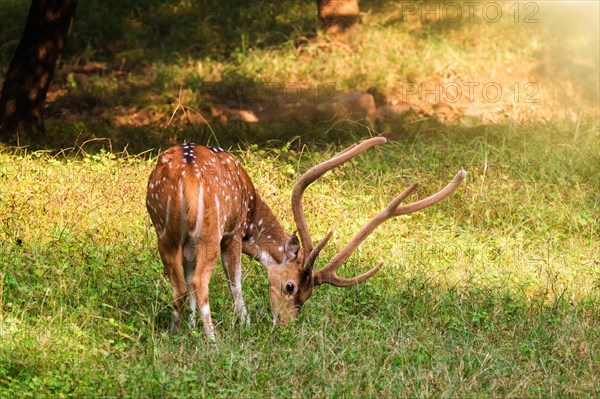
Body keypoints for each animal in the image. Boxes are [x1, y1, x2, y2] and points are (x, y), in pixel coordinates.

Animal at [145, 137, 464, 338]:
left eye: (308, 295)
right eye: (290, 286)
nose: (286, 326)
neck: (251, 211)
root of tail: (185, 177)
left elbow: (189, 280)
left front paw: (191, 325)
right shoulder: (233, 231)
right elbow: (235, 282)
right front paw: (244, 325)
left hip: (164, 230)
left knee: (180, 284)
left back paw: (174, 331)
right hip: (210, 232)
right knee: (200, 281)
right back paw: (213, 340)